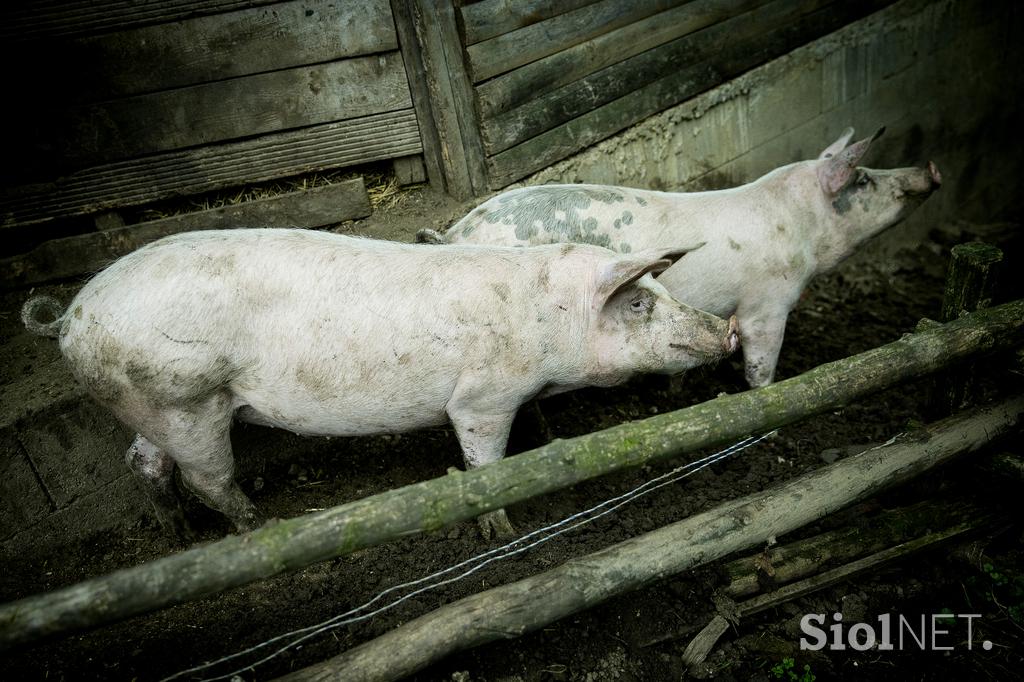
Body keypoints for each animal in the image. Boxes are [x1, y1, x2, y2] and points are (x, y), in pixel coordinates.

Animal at [22, 228, 737, 536]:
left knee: (144, 464)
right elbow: (483, 462)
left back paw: (177, 537)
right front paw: (503, 531)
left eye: (660, 290)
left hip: (151, 403)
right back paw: (262, 527)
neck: (546, 316)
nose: (727, 330)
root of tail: (69, 316)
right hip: (188, 401)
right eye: (638, 303)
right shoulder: (481, 396)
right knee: (207, 479)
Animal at [425, 124, 942, 385]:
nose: (932, 168)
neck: (801, 228)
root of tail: (457, 232)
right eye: (864, 180)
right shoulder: (767, 303)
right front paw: (765, 396)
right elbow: (761, 365)